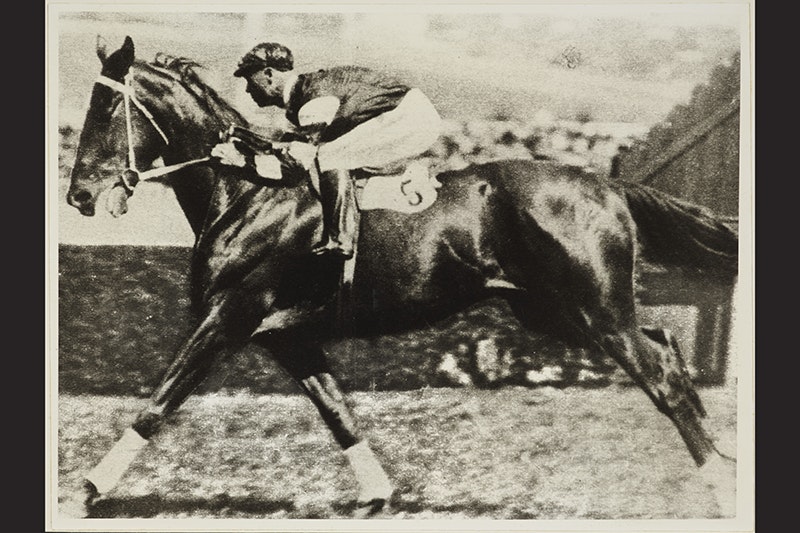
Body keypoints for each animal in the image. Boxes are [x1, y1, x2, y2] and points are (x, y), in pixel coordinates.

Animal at [63, 36, 738, 517]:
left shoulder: (229, 315)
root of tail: (605, 182)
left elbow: (159, 402)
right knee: (666, 346)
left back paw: (719, 483)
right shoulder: (287, 334)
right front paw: (376, 495)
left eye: (105, 107)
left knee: (660, 375)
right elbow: (338, 412)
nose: (77, 196)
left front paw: (88, 488)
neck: (249, 193)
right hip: (557, 312)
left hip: (595, 309)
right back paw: (721, 458)